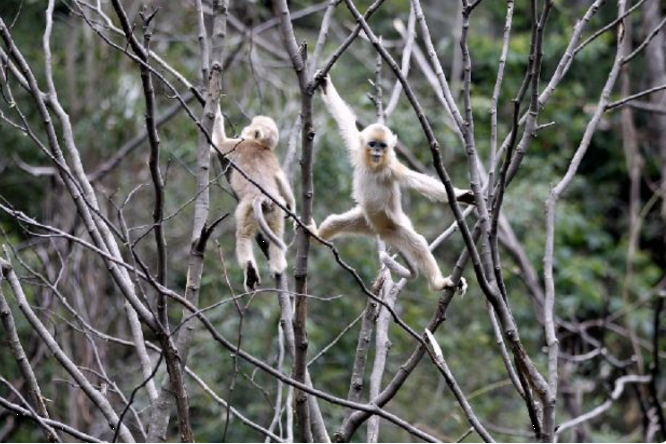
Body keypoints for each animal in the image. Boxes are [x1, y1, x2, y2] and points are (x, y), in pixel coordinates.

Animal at [211, 110, 294, 292]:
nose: (245, 128)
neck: (260, 145)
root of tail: (263, 197)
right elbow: (280, 178)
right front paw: (292, 209)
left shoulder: (242, 144)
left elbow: (219, 143)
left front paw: (216, 109)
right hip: (276, 210)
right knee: (276, 234)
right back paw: (278, 265)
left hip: (248, 209)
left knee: (243, 236)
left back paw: (249, 271)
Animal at [312, 73, 472, 294]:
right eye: (372, 144)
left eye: (383, 146)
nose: (377, 152)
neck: (375, 168)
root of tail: (378, 231)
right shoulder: (357, 148)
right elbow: (344, 120)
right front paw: (325, 84)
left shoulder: (393, 169)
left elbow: (419, 182)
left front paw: (461, 195)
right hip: (365, 221)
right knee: (333, 222)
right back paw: (315, 237)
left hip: (393, 228)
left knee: (418, 243)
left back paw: (438, 283)